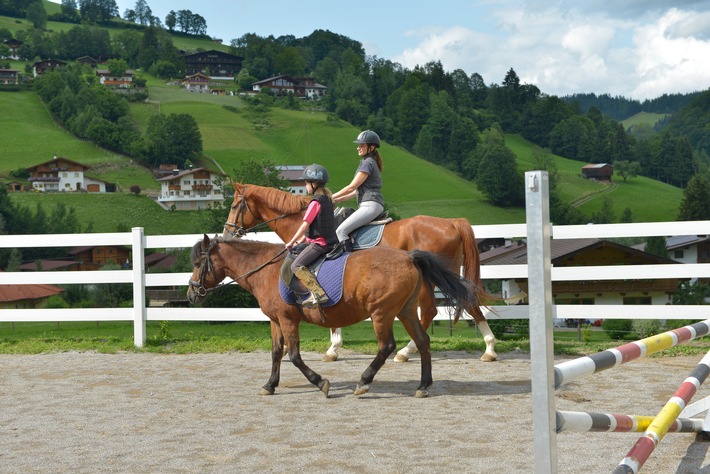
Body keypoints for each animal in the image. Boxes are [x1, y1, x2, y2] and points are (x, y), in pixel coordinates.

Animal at [186, 236, 476, 396]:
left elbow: (294, 356)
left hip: (381, 313)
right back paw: (423, 386)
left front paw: (320, 382)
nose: (191, 294)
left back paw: (364, 382)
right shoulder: (276, 321)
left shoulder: (288, 320)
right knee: (423, 341)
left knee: (386, 346)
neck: (265, 270)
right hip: (405, 311)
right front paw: (270, 385)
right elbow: (276, 353)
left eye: (198, 264)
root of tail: (408, 257)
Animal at [225, 181, 498, 362]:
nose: (228, 232)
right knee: (464, 301)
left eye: (236, 204)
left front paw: (332, 349)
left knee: (436, 308)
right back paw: (487, 348)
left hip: (431, 279)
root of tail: (451, 222)